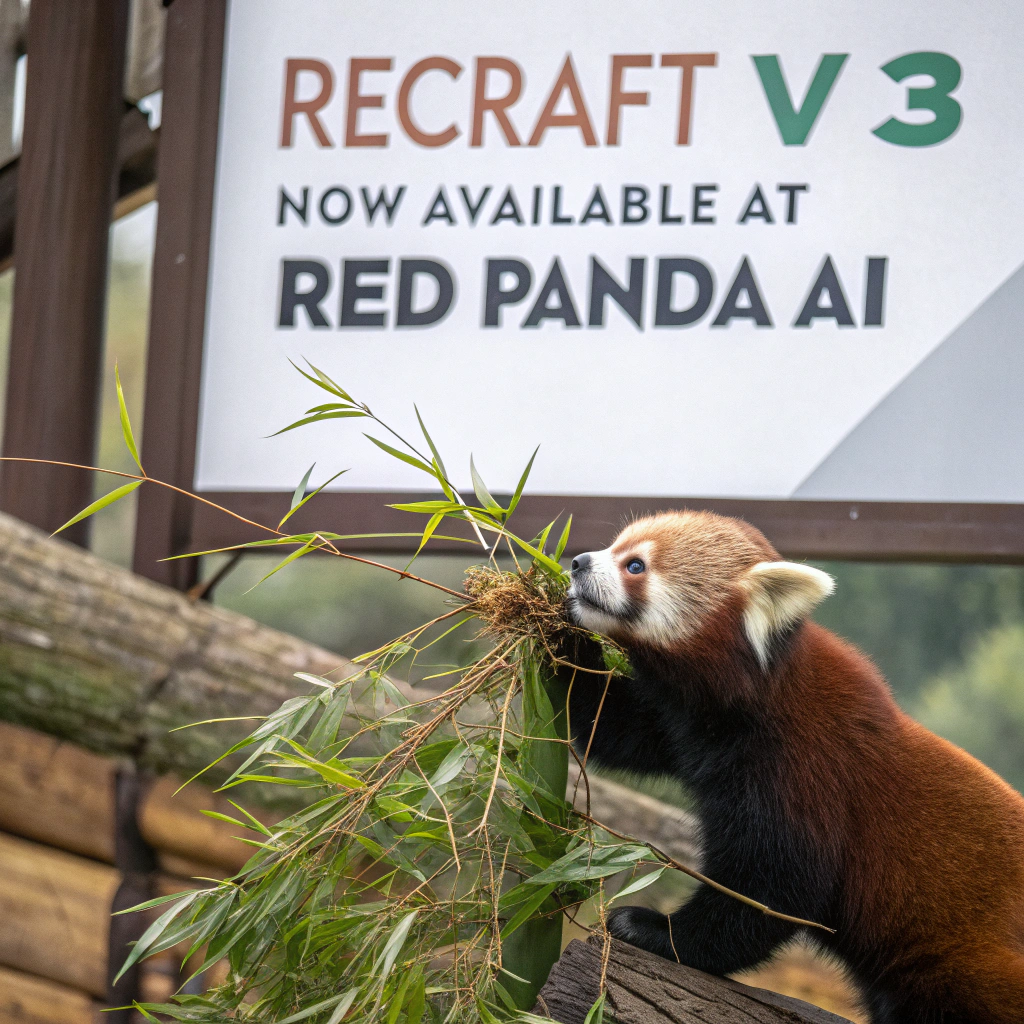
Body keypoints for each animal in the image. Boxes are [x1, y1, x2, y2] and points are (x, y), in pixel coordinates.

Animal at [564, 509, 1024, 1024]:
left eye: (636, 566)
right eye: (613, 546)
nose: (578, 562)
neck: (755, 691)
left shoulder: (805, 761)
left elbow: (778, 883)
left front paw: (656, 931)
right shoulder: (681, 725)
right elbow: (611, 728)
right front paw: (545, 625)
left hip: (968, 962)